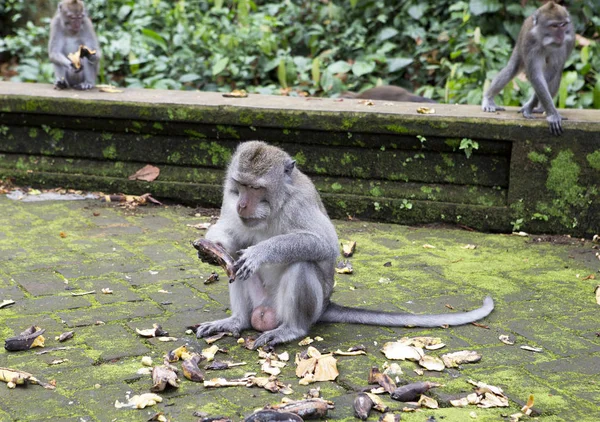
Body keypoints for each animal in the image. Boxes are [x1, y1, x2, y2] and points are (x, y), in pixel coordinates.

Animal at [195, 140, 494, 348]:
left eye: (256, 189)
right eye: (240, 185)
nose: (242, 205)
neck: (274, 206)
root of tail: (325, 307)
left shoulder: (299, 204)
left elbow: (325, 244)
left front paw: (259, 253)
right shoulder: (229, 198)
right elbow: (232, 236)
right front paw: (212, 247)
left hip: (307, 308)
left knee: (300, 264)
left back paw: (291, 329)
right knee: (234, 266)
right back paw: (237, 321)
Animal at [480, 1, 576, 135]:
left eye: (563, 25)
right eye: (554, 26)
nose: (561, 36)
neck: (546, 41)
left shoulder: (563, 46)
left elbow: (550, 73)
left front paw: (531, 107)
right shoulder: (529, 42)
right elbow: (536, 76)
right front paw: (552, 115)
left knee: (556, 73)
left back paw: (540, 108)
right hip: (520, 41)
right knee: (511, 69)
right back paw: (488, 99)